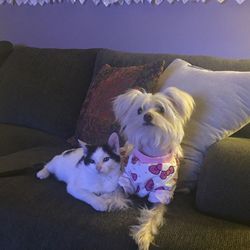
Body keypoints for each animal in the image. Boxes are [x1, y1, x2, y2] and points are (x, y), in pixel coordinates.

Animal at [113, 86, 195, 250]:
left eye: (161, 109)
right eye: (139, 110)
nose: (147, 116)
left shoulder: (162, 193)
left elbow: (153, 216)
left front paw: (143, 235)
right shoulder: (127, 180)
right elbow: (118, 190)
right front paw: (116, 201)